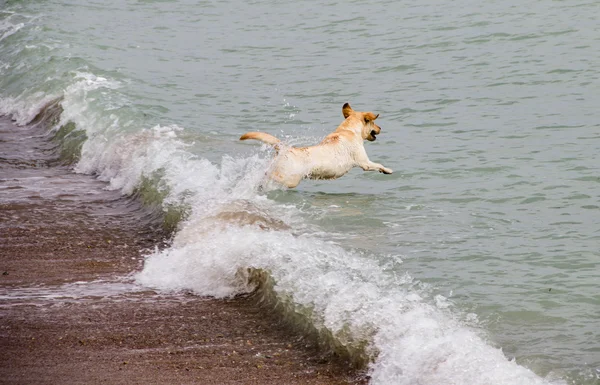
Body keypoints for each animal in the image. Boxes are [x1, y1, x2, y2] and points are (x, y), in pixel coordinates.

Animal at [239, 103, 394, 188]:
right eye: (374, 123)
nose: (381, 128)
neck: (349, 130)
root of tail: (284, 148)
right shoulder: (365, 162)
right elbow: (378, 165)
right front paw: (387, 170)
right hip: (289, 179)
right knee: (268, 178)